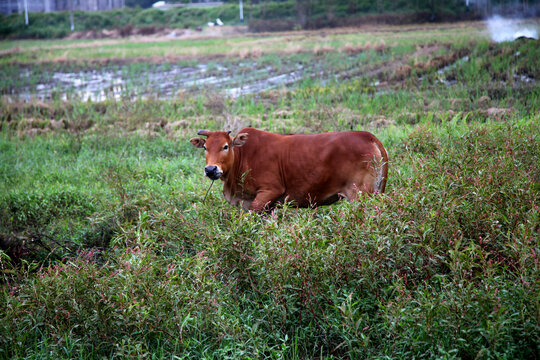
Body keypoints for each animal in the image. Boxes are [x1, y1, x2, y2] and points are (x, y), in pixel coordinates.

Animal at [190, 127, 388, 212]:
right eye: (205, 147)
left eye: (225, 146)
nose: (210, 169)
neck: (242, 156)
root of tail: (366, 136)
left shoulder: (269, 192)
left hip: (360, 195)